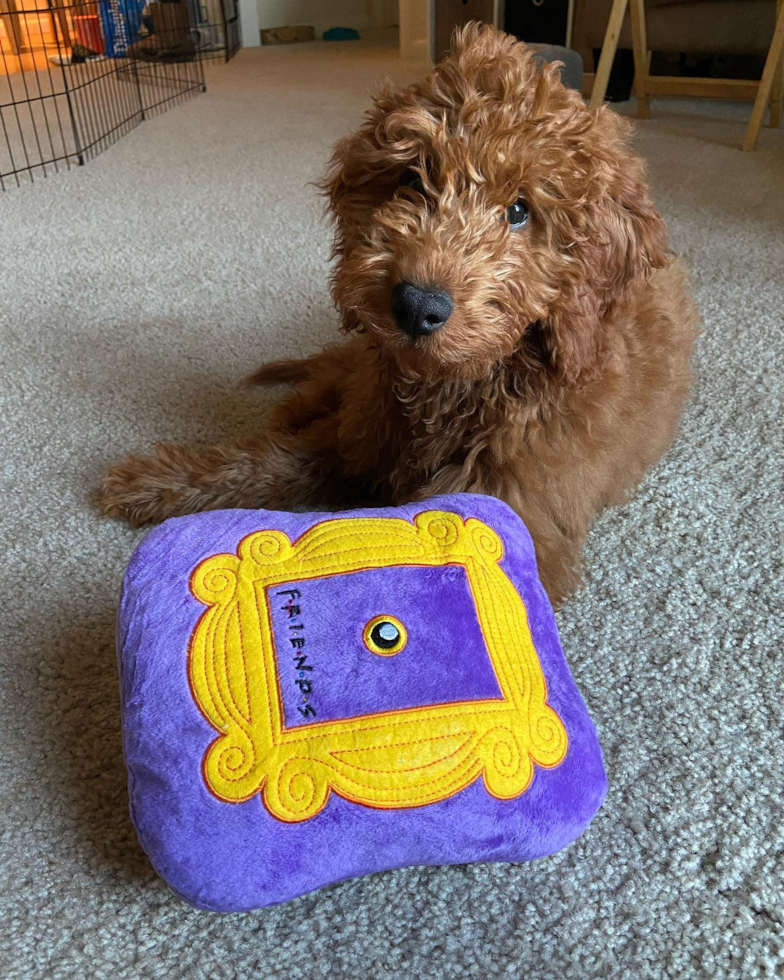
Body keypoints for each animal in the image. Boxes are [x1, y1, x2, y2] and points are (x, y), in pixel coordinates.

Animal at [99, 23, 700, 604]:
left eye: (519, 211)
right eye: (413, 178)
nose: (416, 305)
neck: (463, 386)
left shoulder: (512, 509)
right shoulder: (360, 433)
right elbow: (272, 461)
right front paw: (157, 482)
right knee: (321, 384)